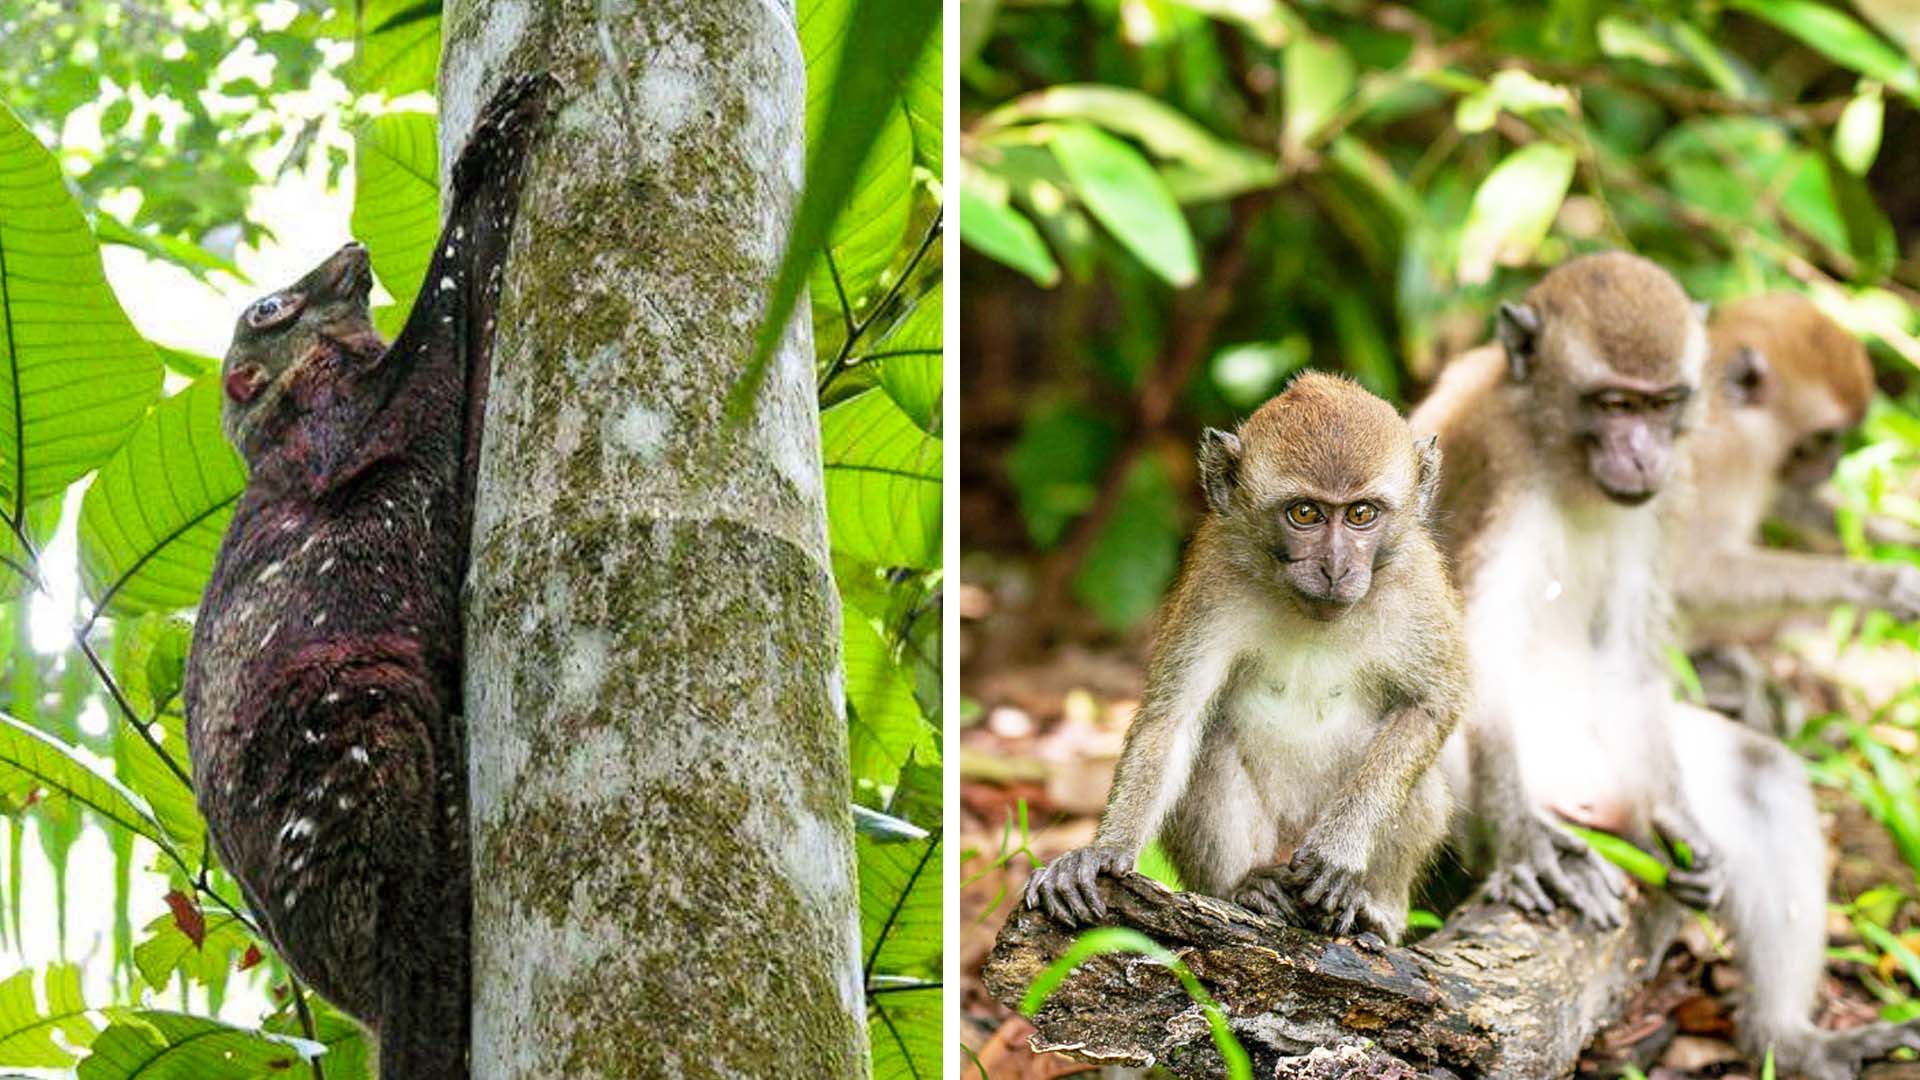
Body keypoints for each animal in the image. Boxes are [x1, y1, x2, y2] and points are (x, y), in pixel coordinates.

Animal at [1029, 372, 1459, 941]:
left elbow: (1432, 706)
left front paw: (1338, 852)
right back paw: (1246, 889)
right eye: (1305, 513)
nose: (1335, 566)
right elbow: (1173, 721)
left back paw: (1373, 912)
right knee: (1209, 745)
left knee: (1421, 780)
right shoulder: (1214, 581)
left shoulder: (1417, 586)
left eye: (1361, 514)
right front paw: (1103, 852)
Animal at [1413, 253, 1920, 1076]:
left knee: (1759, 774)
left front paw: (1679, 817)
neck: (1563, 456)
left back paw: (1791, 1041)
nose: (1643, 452)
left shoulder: (1659, 494)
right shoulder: (1507, 474)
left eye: (1662, 404)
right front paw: (1523, 842)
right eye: (1615, 403)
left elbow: (1629, 641)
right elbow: (1476, 648)